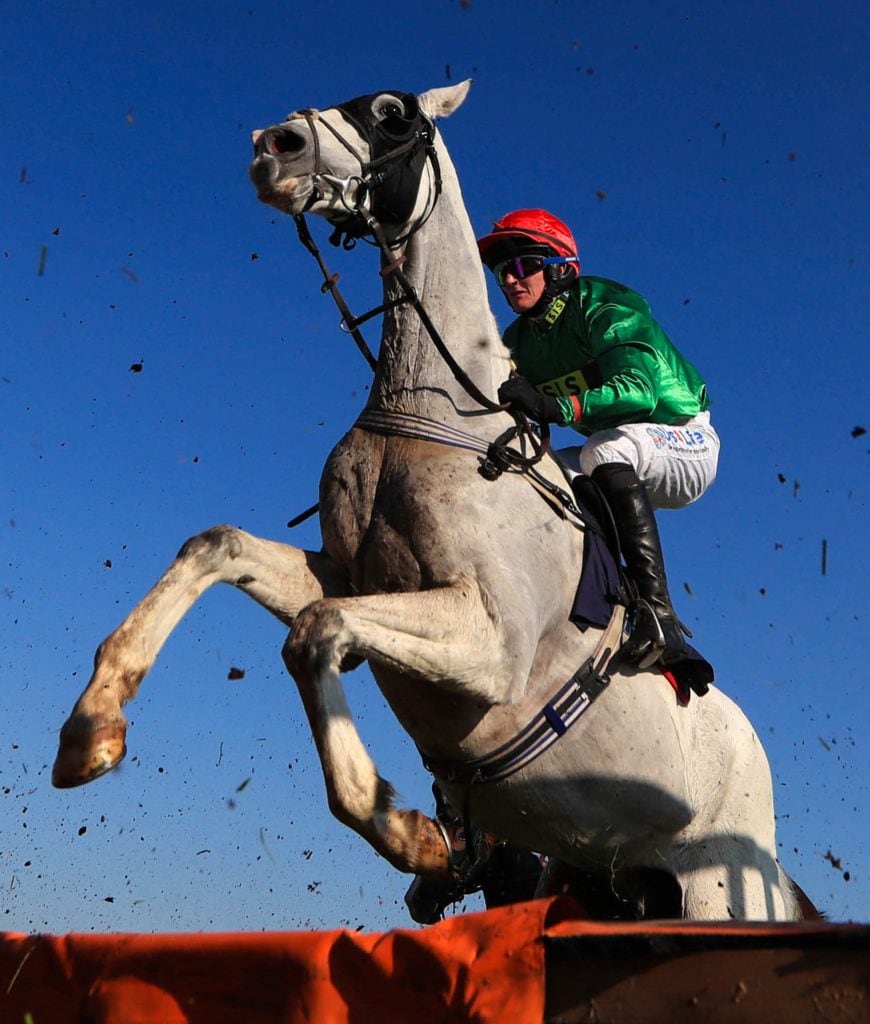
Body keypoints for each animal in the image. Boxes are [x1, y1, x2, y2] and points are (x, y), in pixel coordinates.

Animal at [52, 80, 804, 921]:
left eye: (391, 114)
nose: (273, 145)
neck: (439, 412)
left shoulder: (491, 643)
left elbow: (316, 633)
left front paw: (415, 834)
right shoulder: (352, 577)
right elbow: (218, 546)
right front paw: (91, 732)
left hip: (716, 885)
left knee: (617, 466)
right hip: (602, 880)